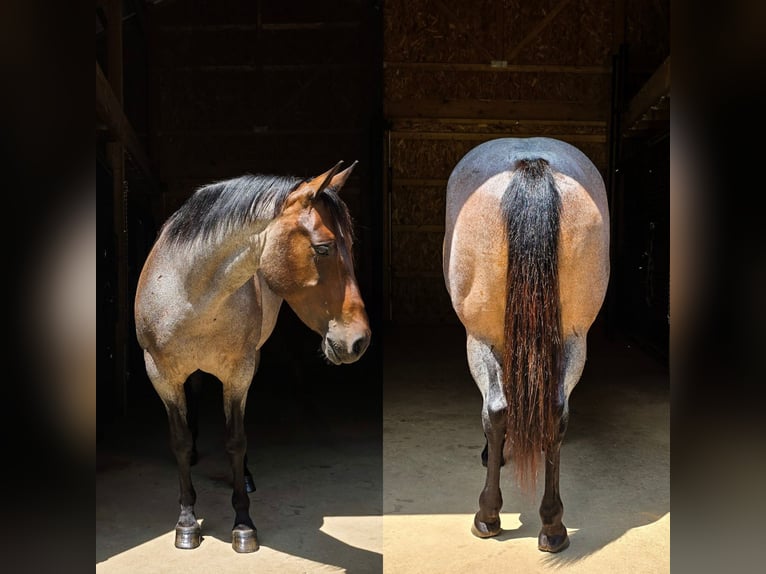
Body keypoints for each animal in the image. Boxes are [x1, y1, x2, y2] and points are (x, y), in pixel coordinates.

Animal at [134, 161, 371, 553]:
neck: (188, 295)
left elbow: (236, 440)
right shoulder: (161, 376)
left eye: (351, 246)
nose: (359, 341)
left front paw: (243, 523)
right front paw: (187, 522)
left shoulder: (238, 374)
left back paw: (242, 476)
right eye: (323, 249)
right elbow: (179, 442)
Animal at [442, 137, 610, 553]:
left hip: (480, 337)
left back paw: (487, 516)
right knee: (555, 412)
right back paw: (552, 525)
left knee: (497, 409)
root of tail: (532, 163)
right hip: (575, 339)